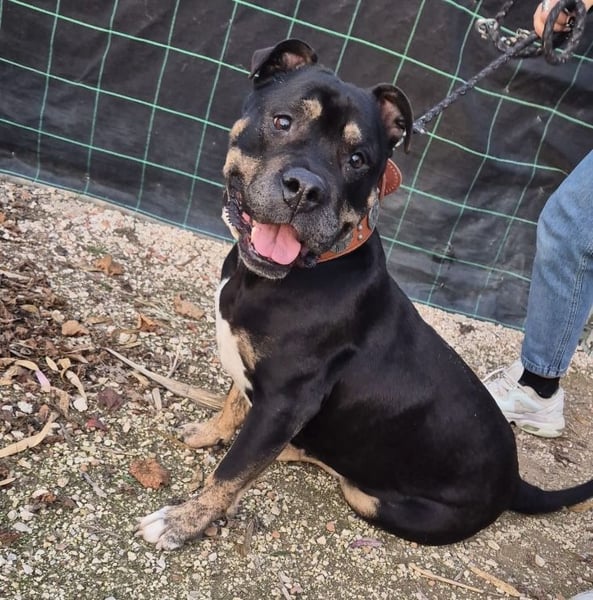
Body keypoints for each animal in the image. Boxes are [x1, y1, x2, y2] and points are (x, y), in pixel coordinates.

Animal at [137, 39, 593, 550]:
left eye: (358, 160)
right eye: (282, 121)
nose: (305, 189)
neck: (288, 274)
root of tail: (515, 482)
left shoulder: (283, 404)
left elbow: (232, 470)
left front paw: (184, 520)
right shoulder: (258, 387)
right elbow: (234, 400)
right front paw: (209, 431)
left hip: (371, 499)